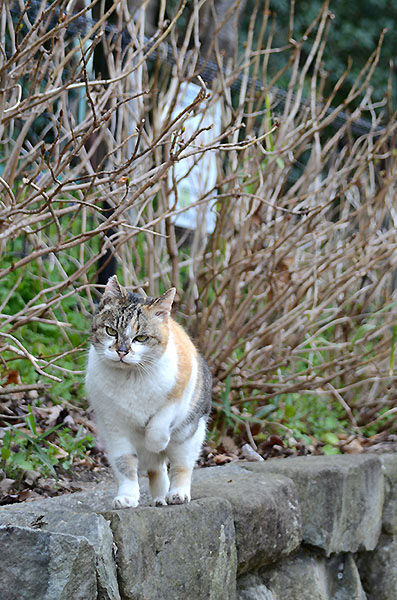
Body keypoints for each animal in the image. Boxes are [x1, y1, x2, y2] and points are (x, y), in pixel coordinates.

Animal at [85, 276, 212, 506]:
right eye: (111, 331)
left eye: (141, 338)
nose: (122, 351)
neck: (130, 379)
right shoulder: (113, 427)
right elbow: (125, 463)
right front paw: (126, 497)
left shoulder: (180, 391)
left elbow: (159, 425)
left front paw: (155, 441)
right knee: (156, 469)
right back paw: (159, 498)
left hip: (189, 436)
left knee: (181, 466)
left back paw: (177, 494)